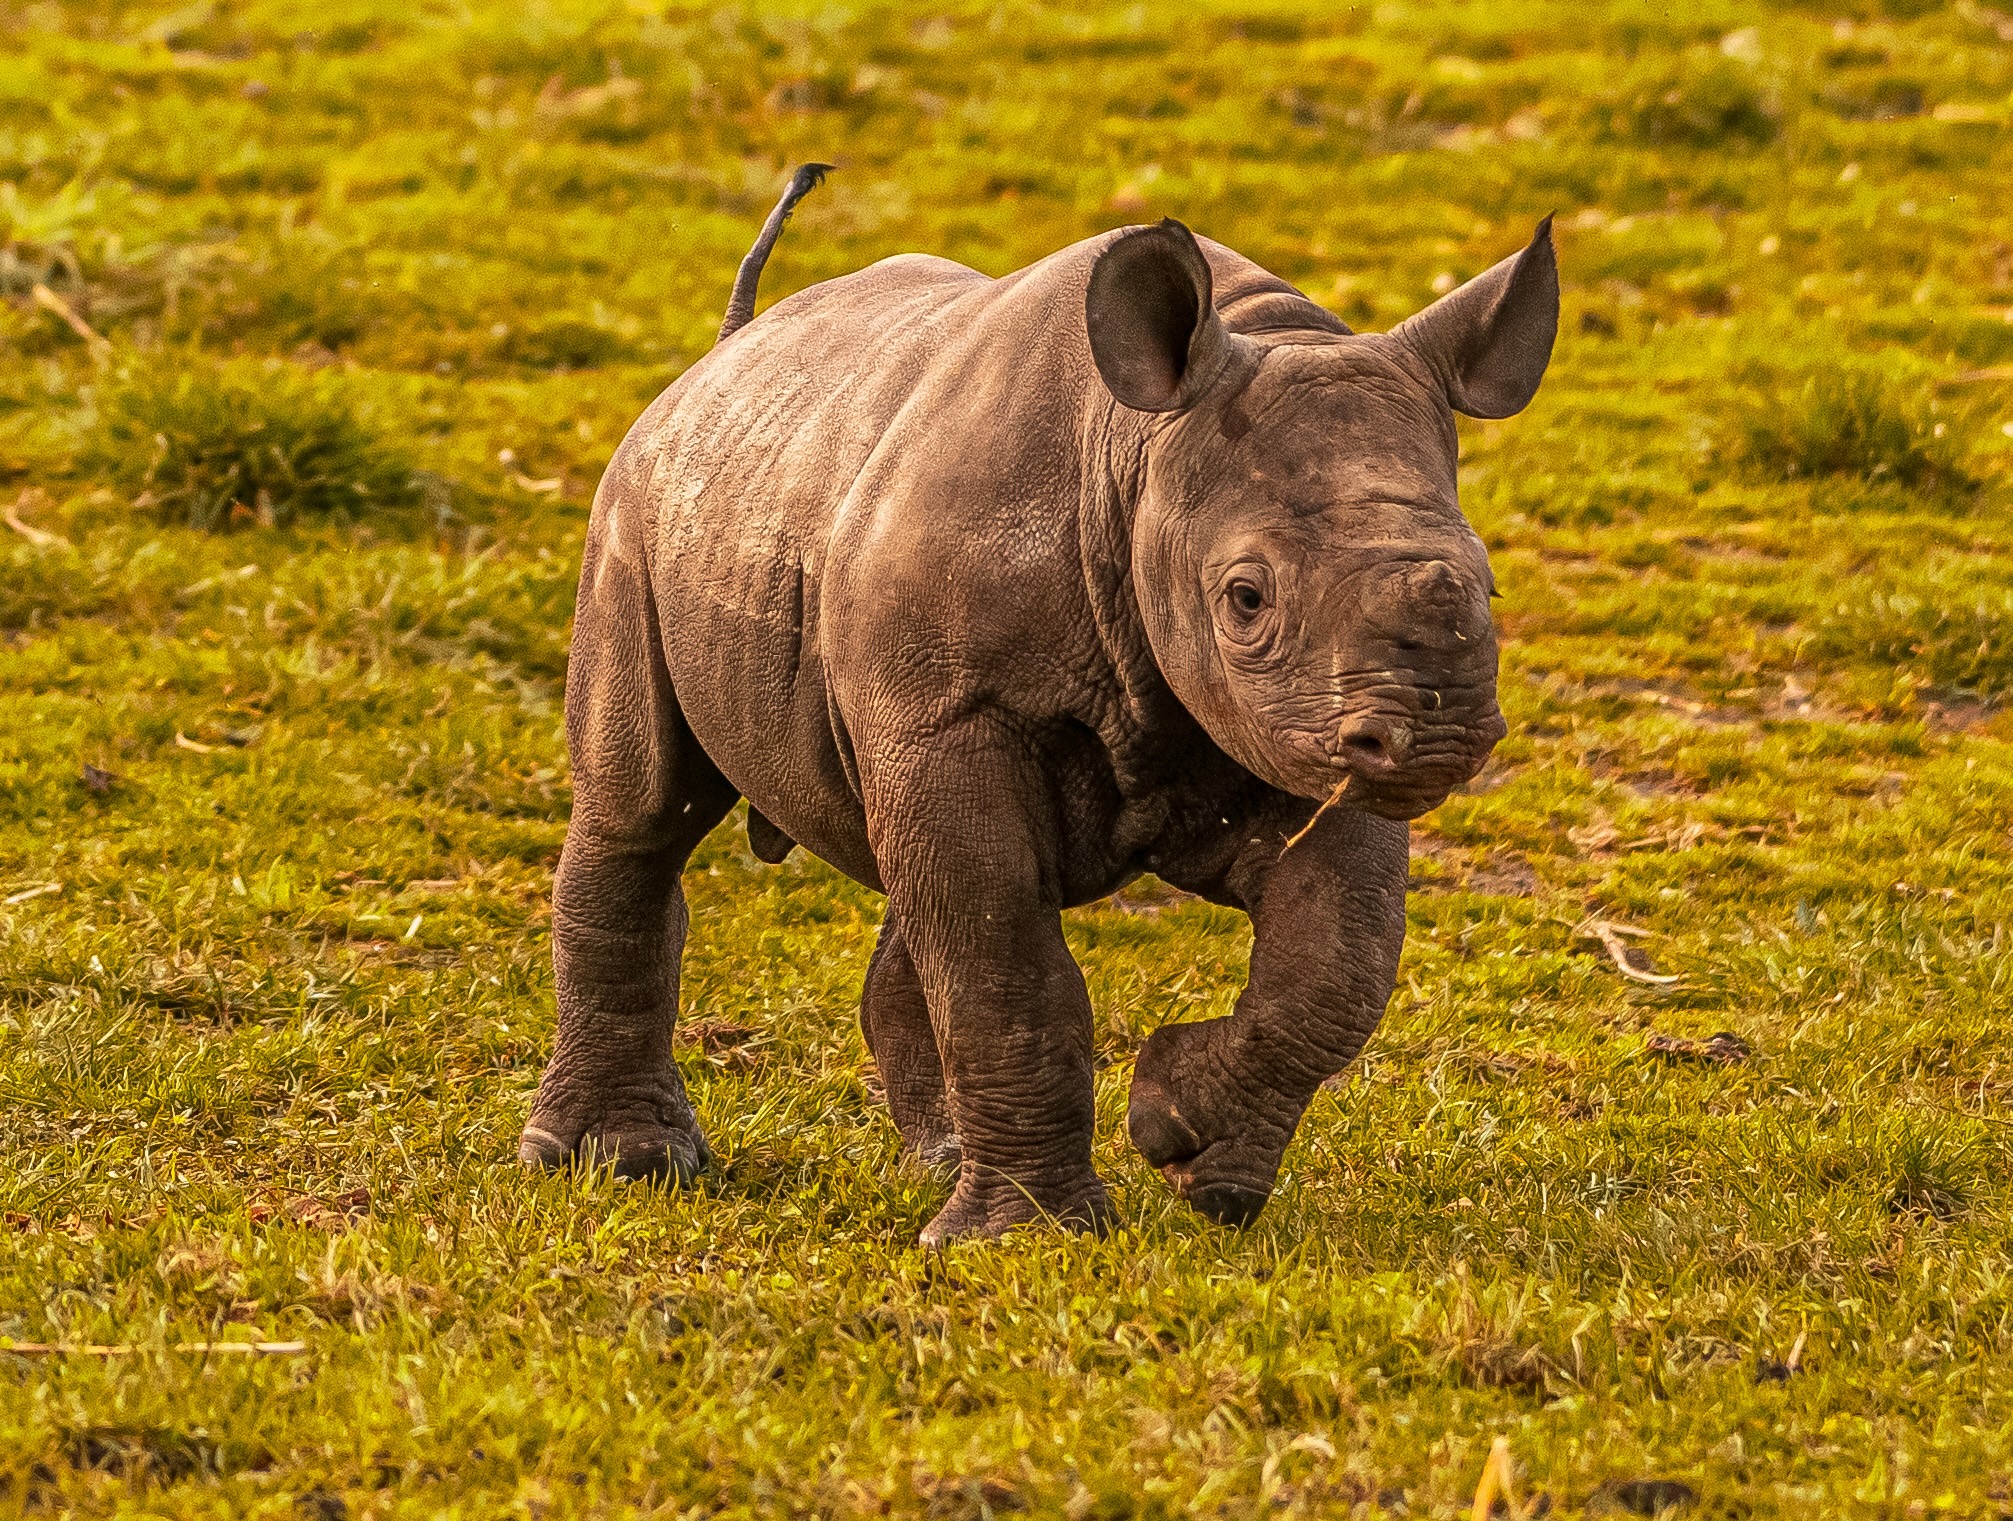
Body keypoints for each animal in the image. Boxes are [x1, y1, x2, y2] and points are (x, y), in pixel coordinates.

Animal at [519, 165, 1558, 1244]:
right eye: (1246, 597)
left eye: (1485, 586)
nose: (1435, 736)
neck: (1136, 452)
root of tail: (719, 357)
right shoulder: (953, 711)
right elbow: (1004, 966)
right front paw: (1027, 1238)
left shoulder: (1300, 727)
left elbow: (1336, 962)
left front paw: (1188, 1148)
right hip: (639, 504)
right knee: (643, 811)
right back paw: (617, 1164)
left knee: (913, 887)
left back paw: (933, 1163)